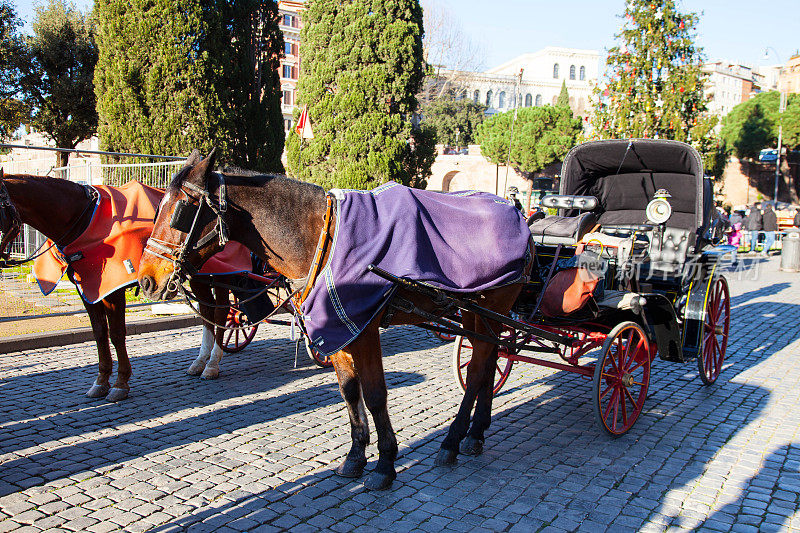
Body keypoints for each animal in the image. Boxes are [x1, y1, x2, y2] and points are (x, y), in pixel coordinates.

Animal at [0, 166, 239, 400]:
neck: (86, 219)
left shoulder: (113, 291)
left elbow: (116, 333)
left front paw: (120, 382)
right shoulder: (87, 289)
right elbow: (99, 332)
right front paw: (101, 380)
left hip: (221, 275)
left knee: (220, 313)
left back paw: (213, 363)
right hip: (195, 275)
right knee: (207, 313)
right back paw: (200, 361)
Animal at [138, 151, 524, 490]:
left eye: (181, 212)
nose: (145, 280)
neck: (322, 237)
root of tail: (518, 215)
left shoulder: (363, 328)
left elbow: (375, 394)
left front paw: (385, 464)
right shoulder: (335, 328)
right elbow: (350, 390)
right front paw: (355, 456)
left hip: (493, 305)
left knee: (477, 369)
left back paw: (453, 440)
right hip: (479, 314)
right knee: (491, 358)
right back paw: (476, 432)